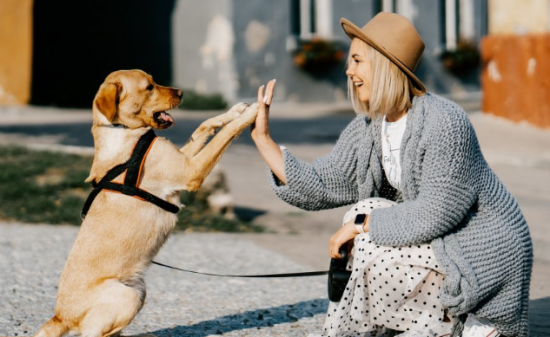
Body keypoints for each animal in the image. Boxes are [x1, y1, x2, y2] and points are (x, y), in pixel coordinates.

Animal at [35, 69, 260, 336]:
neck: (123, 131)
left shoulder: (183, 159)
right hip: (128, 296)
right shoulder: (191, 171)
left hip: (139, 290)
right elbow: (225, 135)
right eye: (148, 87)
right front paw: (252, 112)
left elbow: (204, 126)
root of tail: (61, 316)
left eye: (154, 81)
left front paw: (234, 111)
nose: (182, 92)